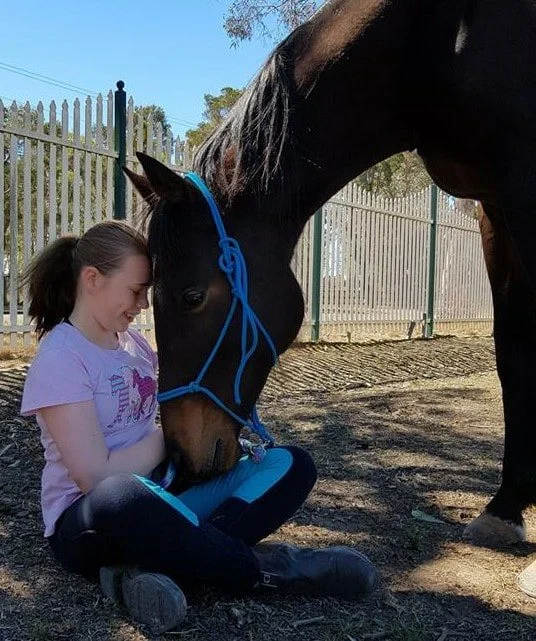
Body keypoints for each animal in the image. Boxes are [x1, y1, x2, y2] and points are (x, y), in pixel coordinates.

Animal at [126, 0, 536, 548]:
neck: (435, 41)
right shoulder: (494, 209)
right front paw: (506, 506)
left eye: (192, 296)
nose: (181, 460)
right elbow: (512, 350)